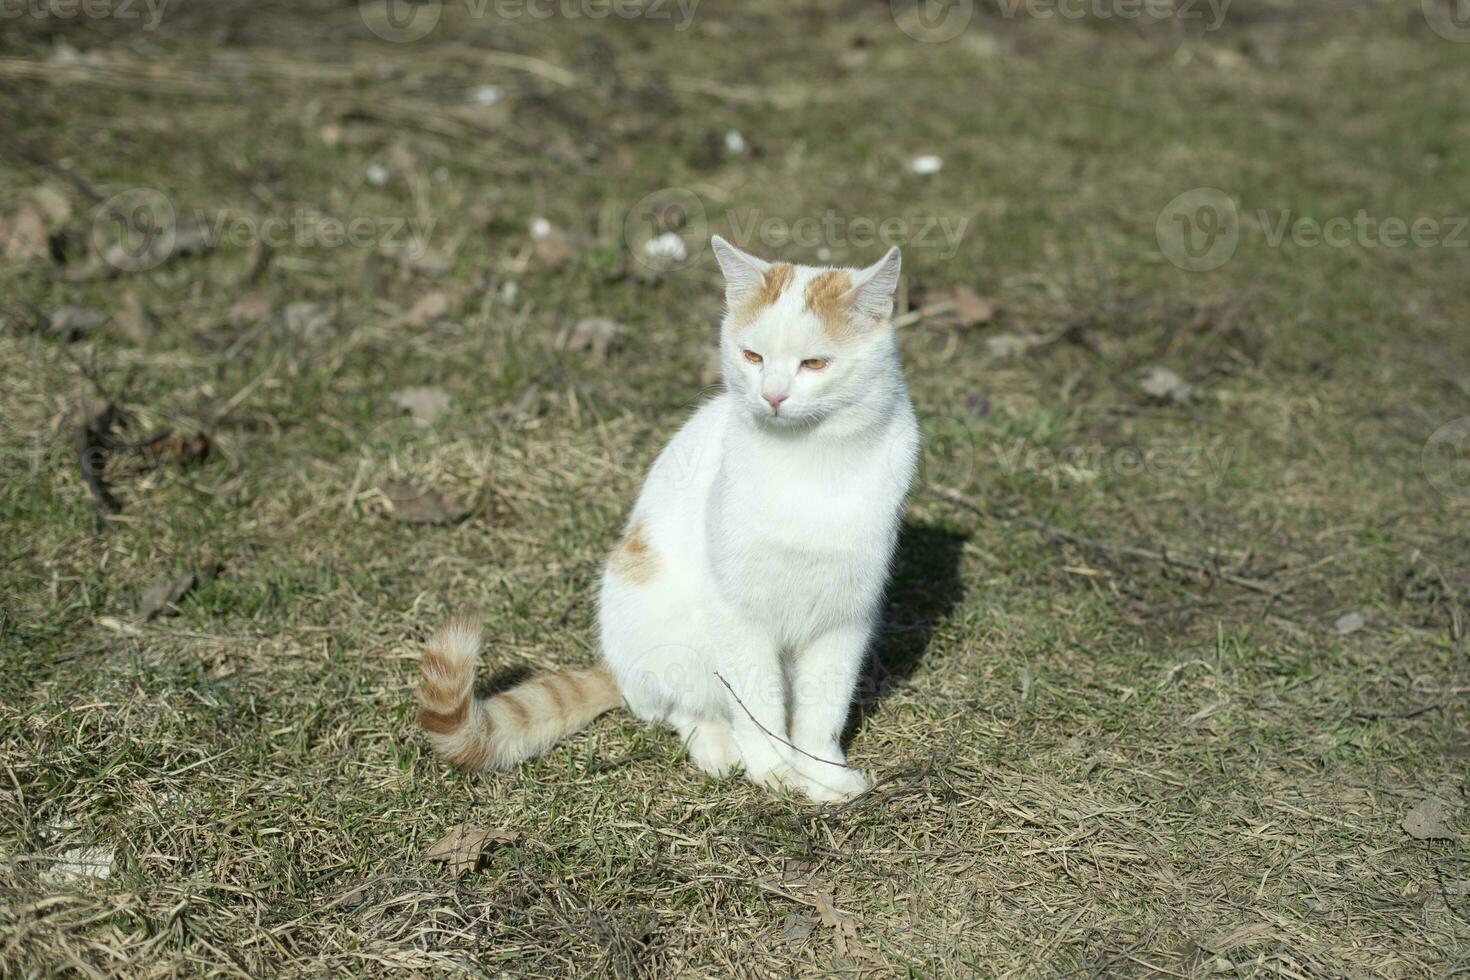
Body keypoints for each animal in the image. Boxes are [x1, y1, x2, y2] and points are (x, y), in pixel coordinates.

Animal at [417, 235, 917, 799]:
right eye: (752, 356)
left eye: (814, 363)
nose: (772, 395)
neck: (809, 464)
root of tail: (615, 664)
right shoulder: (737, 615)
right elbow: (759, 705)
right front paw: (776, 772)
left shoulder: (846, 618)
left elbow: (822, 710)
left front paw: (824, 774)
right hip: (668, 634)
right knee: (676, 706)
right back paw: (718, 746)